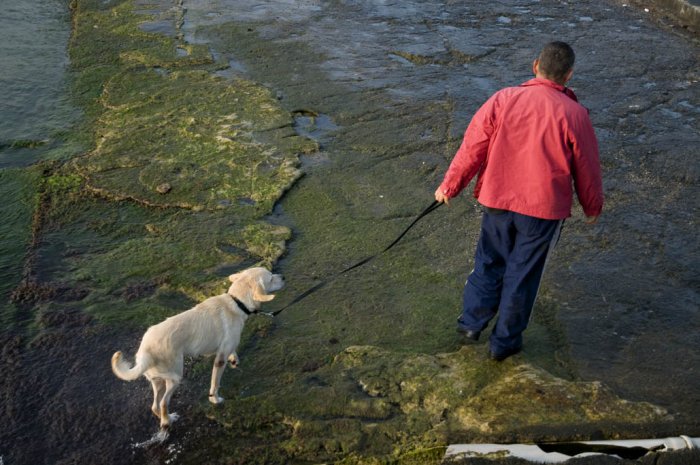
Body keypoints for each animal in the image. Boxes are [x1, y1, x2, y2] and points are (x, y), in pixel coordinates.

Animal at [110, 266, 284, 430]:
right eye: (270, 278)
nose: (283, 277)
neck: (236, 302)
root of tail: (144, 351)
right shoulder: (219, 360)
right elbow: (215, 383)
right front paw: (215, 399)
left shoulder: (226, 347)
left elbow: (232, 351)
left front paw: (234, 358)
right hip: (174, 378)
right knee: (163, 403)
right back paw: (167, 421)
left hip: (157, 380)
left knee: (154, 405)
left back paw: (163, 417)